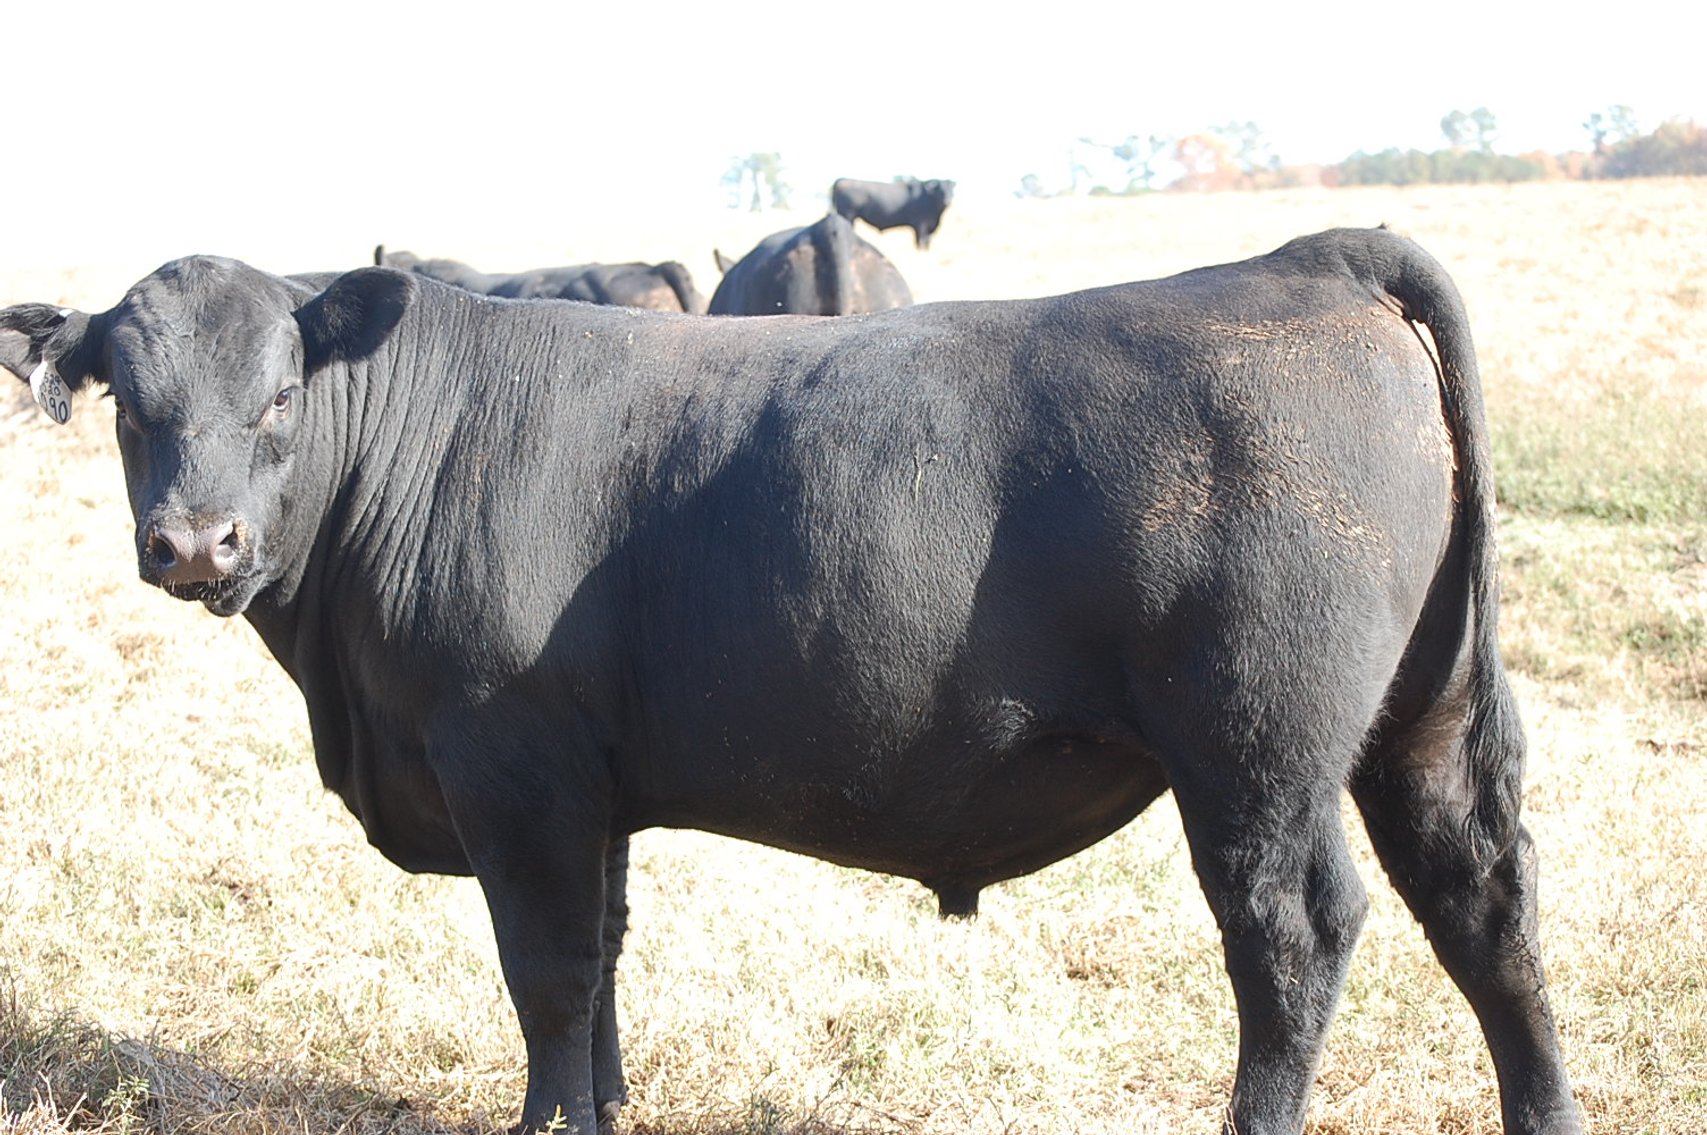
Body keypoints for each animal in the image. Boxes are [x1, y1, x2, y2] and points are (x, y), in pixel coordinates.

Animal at [0, 227, 1582, 1135]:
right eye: (132, 408)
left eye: (279, 395)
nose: (194, 542)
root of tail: (1310, 259)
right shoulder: (590, 787)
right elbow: (603, 959)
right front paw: (603, 1111)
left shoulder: (512, 769)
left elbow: (546, 972)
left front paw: (549, 1123)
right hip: (1423, 717)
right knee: (1484, 905)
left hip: (1254, 751)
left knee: (1293, 940)